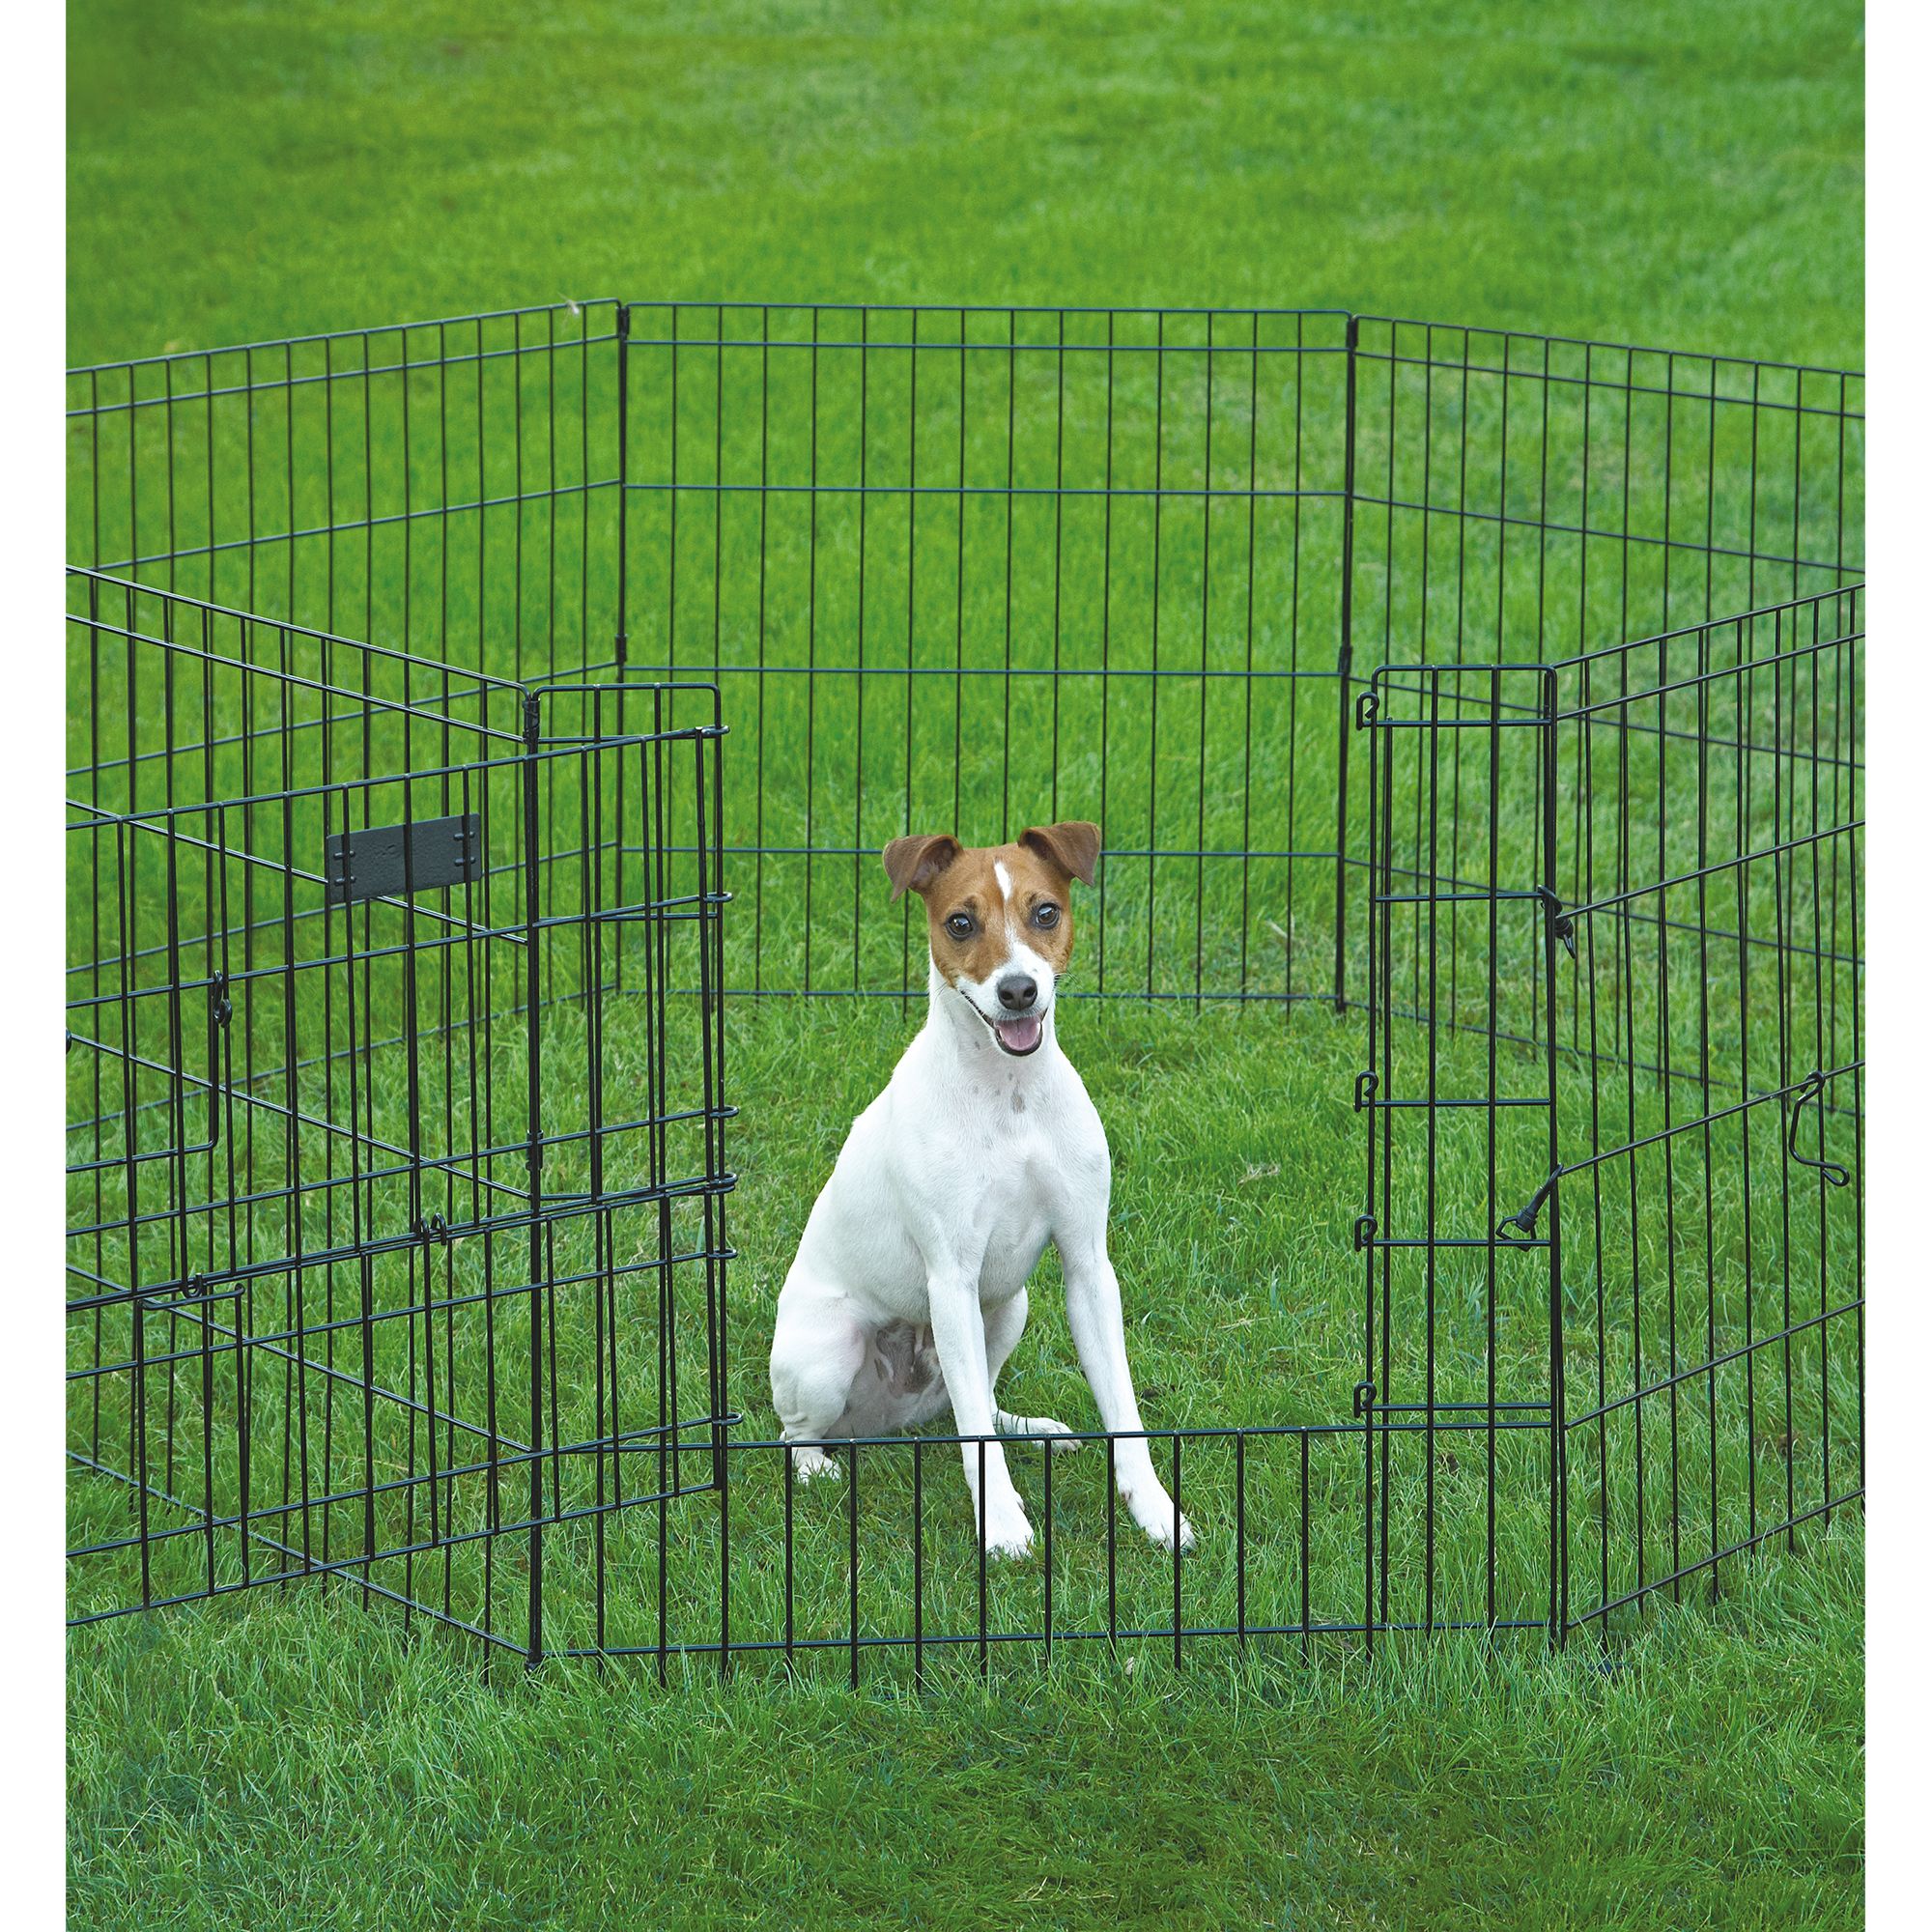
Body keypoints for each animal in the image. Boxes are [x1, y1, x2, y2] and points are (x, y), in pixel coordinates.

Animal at [769, 823, 1190, 1561]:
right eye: (960, 923)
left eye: (1045, 912)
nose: (1018, 990)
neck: (1009, 1099)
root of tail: (890, 1420)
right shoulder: (951, 1276)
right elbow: (978, 1447)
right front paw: (1003, 1525)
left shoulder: (1088, 1267)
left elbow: (1122, 1406)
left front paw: (1155, 1511)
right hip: (830, 1353)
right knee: (803, 1430)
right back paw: (817, 1466)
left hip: (1008, 1307)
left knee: (976, 1406)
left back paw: (1030, 1427)